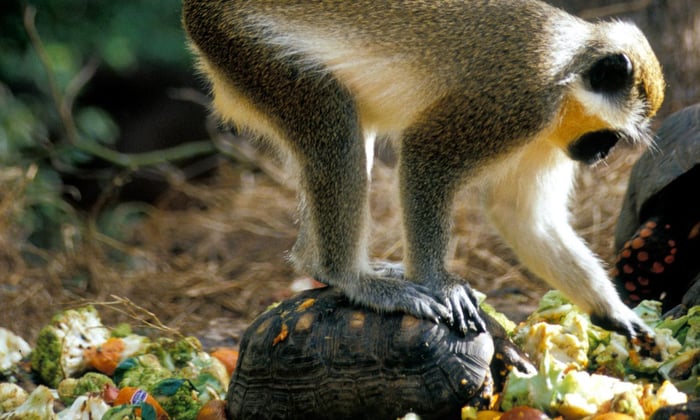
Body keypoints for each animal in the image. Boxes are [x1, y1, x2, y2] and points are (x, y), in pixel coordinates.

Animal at [182, 0, 665, 342]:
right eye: (611, 135)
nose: (600, 155)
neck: (568, 60)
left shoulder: (549, 134)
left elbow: (521, 215)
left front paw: (613, 312)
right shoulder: (519, 100)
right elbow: (426, 158)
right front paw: (441, 284)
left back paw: (315, 262)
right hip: (250, 49)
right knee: (336, 126)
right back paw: (348, 276)